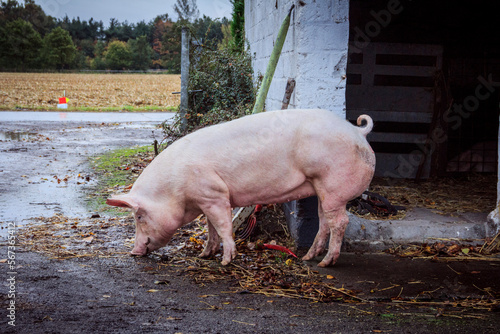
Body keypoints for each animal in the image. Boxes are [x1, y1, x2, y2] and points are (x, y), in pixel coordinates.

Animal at [106, 109, 376, 266]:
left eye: (139, 216)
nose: (134, 252)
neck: (175, 191)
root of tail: (357, 130)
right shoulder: (205, 200)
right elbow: (211, 228)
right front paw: (204, 255)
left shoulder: (215, 194)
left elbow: (224, 226)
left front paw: (226, 262)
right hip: (322, 189)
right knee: (324, 221)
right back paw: (309, 257)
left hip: (334, 185)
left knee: (339, 222)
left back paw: (325, 263)